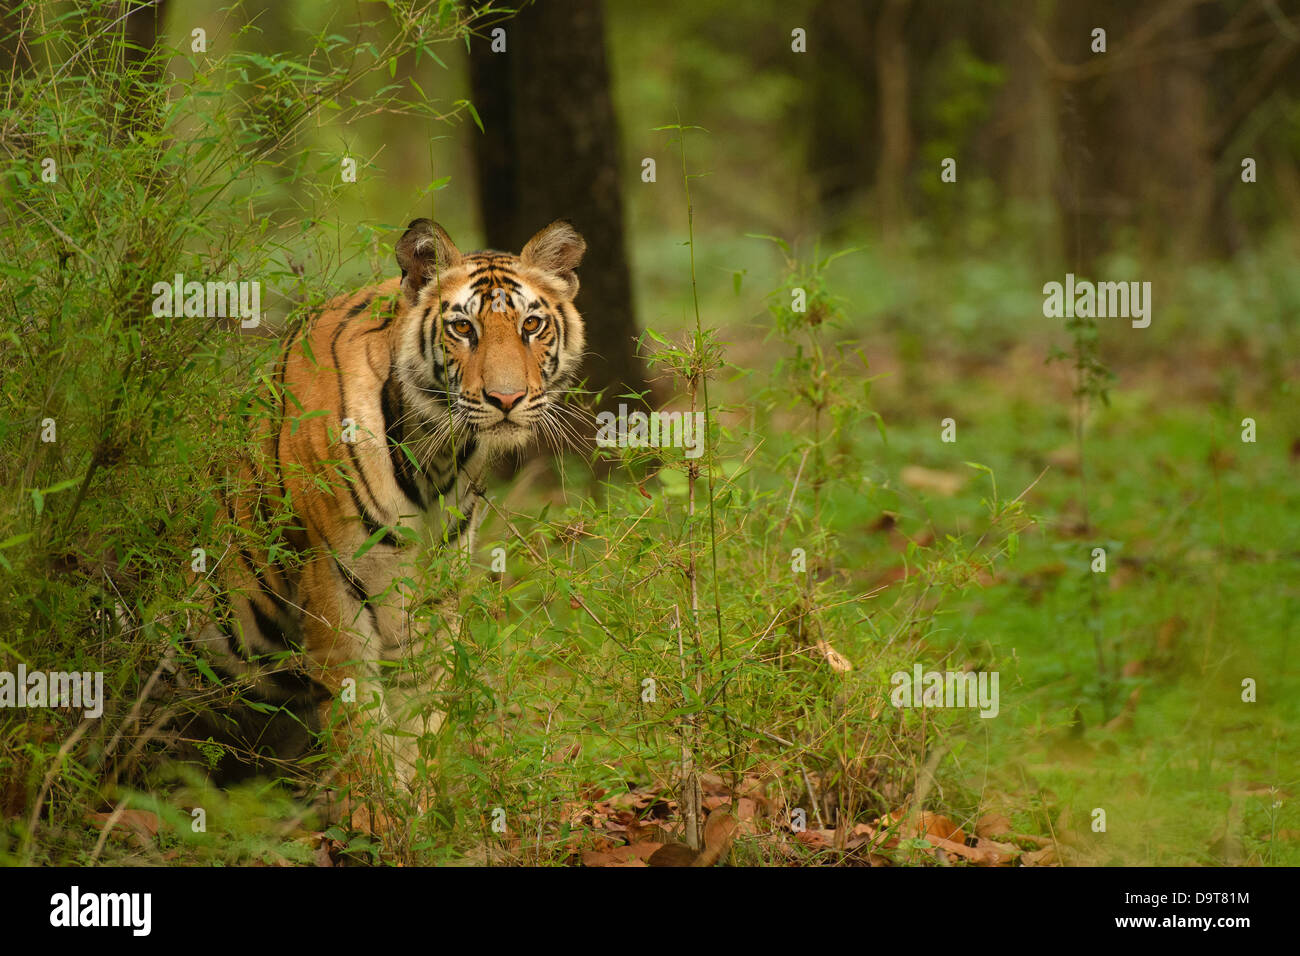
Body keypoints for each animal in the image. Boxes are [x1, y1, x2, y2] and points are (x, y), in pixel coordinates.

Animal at [180, 218, 587, 816]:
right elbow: (357, 717)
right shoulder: (330, 579)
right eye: (462, 327)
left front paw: (418, 807)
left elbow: (420, 713)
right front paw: (372, 818)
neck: (437, 456)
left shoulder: (435, 592)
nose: (506, 398)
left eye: (531, 325)